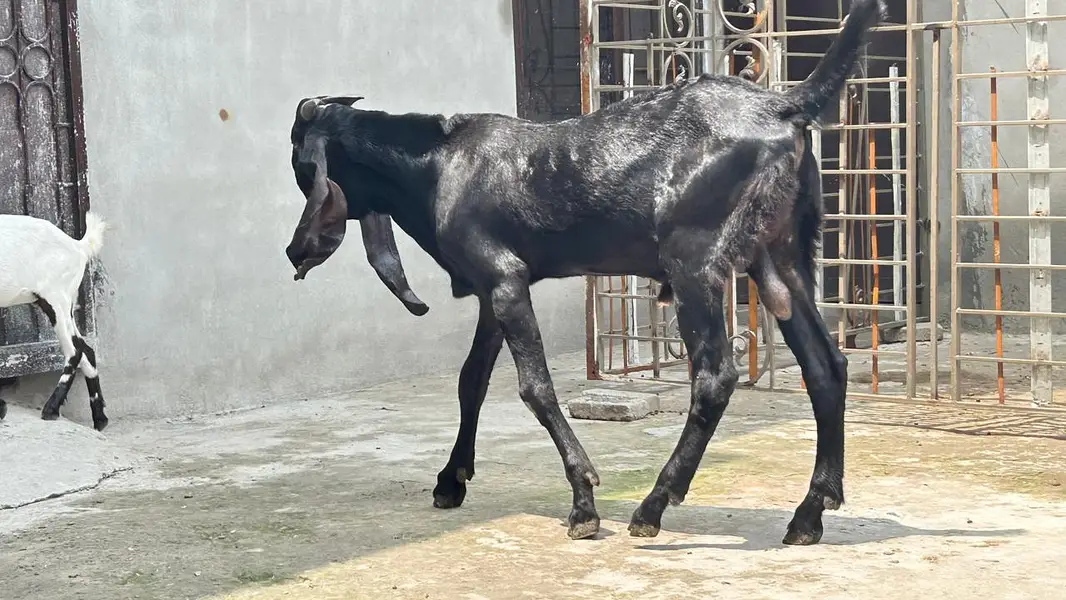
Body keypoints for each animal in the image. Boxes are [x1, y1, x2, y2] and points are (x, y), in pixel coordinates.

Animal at [0, 212, 109, 431]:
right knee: (87, 350)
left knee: (75, 350)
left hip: (56, 298)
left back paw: (51, 409)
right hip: (63, 302)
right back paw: (100, 418)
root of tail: (78, 246)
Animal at [283, 0, 885, 546]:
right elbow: (470, 379)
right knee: (826, 365)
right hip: (780, 259)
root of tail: (784, 105)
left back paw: (654, 504)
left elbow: (536, 388)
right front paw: (451, 480)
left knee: (716, 377)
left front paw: (583, 502)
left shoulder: (505, 279)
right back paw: (809, 513)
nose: (294, 251)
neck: (440, 165)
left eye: (300, 165)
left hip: (694, 264)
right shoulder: (492, 289)